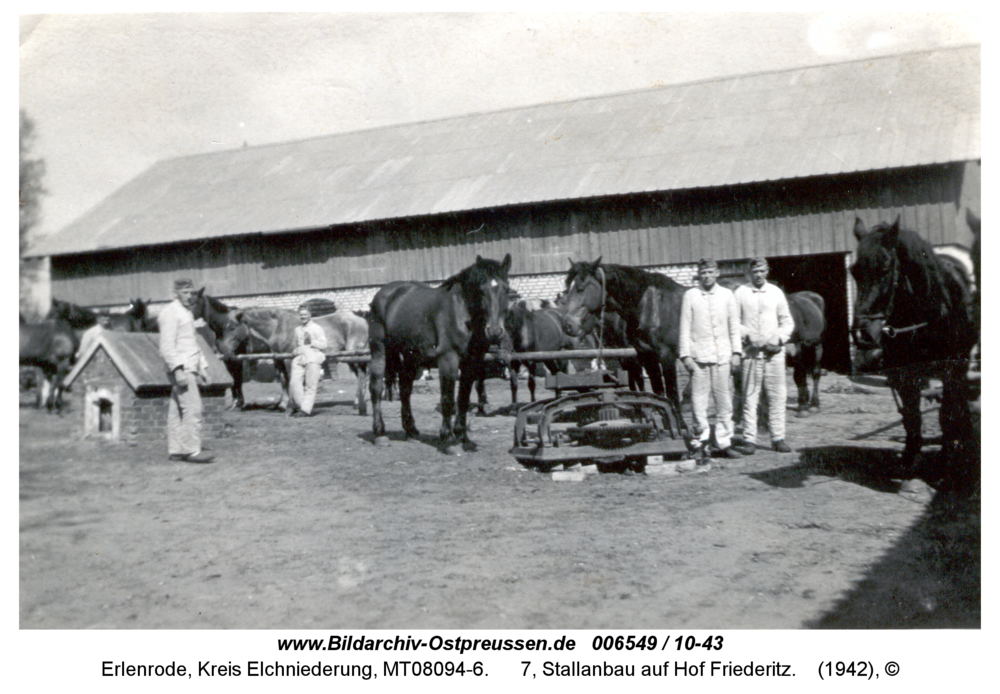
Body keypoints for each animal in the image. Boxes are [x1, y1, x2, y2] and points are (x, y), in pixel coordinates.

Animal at [368, 253, 512, 454]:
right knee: (376, 387)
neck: (462, 312)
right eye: (481, 290)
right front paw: (449, 440)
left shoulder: (471, 363)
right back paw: (380, 433)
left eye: (506, 289)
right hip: (379, 350)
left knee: (405, 389)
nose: (495, 331)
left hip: (411, 357)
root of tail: (384, 294)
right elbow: (448, 399)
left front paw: (463, 437)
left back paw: (411, 431)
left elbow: (463, 399)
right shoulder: (448, 360)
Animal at [852, 215, 976, 486]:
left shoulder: (952, 369)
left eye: (886, 268)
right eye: (853, 272)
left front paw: (944, 466)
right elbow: (911, 416)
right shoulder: (904, 374)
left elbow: (946, 415)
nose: (862, 335)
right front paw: (909, 461)